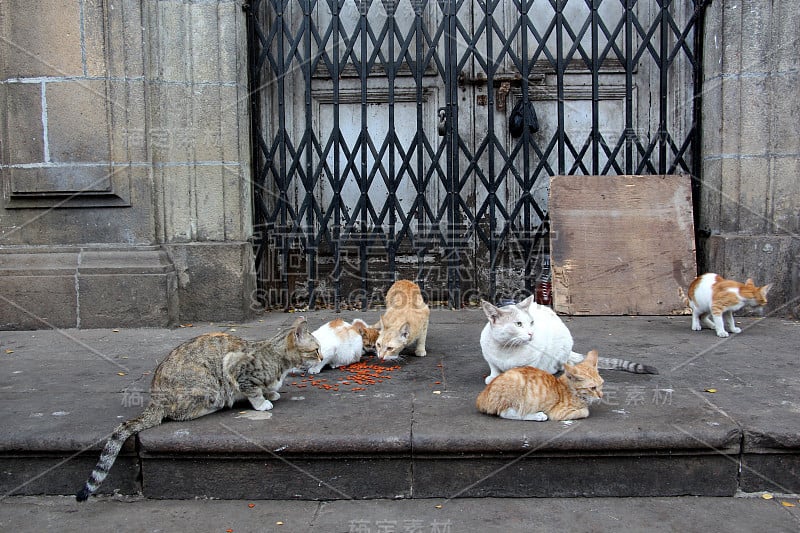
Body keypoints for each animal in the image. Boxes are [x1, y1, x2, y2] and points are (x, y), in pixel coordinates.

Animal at [76, 318, 320, 500]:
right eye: (316, 350)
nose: (322, 357)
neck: (278, 359)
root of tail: (154, 399)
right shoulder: (236, 368)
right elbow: (253, 390)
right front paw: (262, 402)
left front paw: (271, 393)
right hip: (207, 385)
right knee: (181, 413)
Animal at [482, 296, 656, 382]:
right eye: (518, 324)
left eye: (531, 323)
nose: (531, 333)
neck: (506, 348)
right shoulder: (489, 356)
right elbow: (494, 367)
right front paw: (493, 376)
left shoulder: (536, 356)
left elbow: (523, 368)